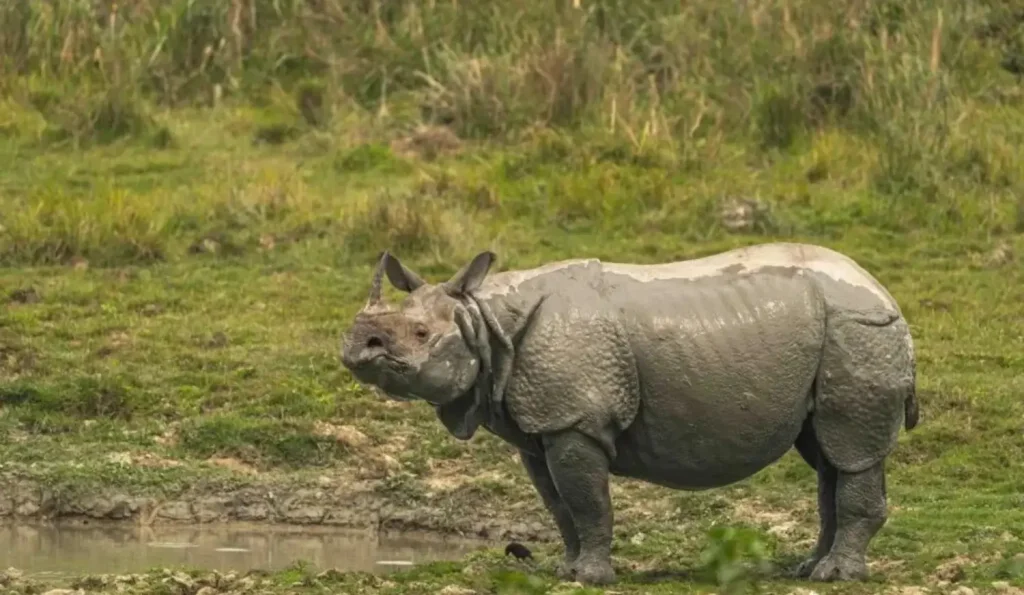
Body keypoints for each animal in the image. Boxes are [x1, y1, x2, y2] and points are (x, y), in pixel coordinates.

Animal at [339, 242, 919, 586]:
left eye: (420, 335)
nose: (355, 345)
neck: (482, 319)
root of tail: (885, 291)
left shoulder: (574, 420)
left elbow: (587, 500)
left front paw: (590, 578)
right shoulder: (539, 428)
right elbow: (560, 506)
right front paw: (566, 569)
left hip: (859, 329)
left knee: (850, 449)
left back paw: (836, 576)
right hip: (840, 332)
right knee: (827, 455)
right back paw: (808, 568)